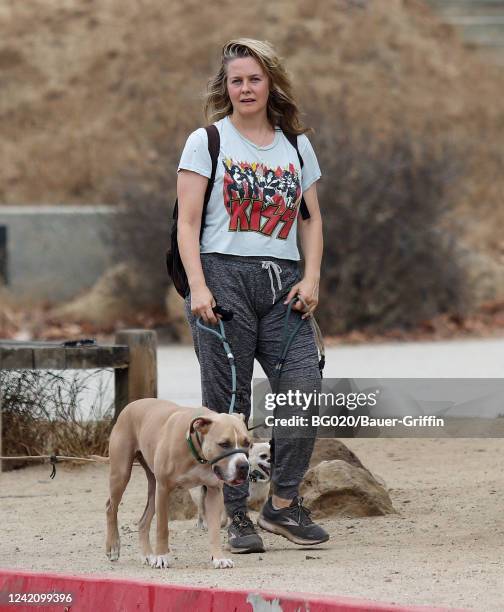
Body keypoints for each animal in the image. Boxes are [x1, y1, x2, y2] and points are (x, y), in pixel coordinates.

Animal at [104, 396, 250, 568]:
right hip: (122, 475)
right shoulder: (164, 489)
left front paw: (219, 558)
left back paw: (147, 555)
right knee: (110, 508)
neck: (197, 452)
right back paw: (113, 547)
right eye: (224, 444)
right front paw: (161, 557)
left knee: (143, 521)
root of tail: (131, 405)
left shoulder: (214, 491)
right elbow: (162, 528)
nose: (244, 466)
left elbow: (214, 531)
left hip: (153, 488)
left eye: (247, 443)